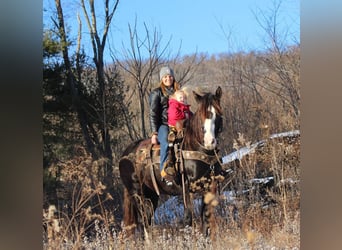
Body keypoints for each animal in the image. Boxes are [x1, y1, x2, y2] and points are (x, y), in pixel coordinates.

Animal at [119, 86, 226, 240]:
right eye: (202, 115)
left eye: (218, 115)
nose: (209, 142)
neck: (196, 147)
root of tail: (125, 154)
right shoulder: (186, 189)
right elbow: (188, 218)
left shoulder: (210, 187)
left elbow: (205, 217)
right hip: (137, 193)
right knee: (144, 221)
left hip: (152, 194)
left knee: (148, 220)